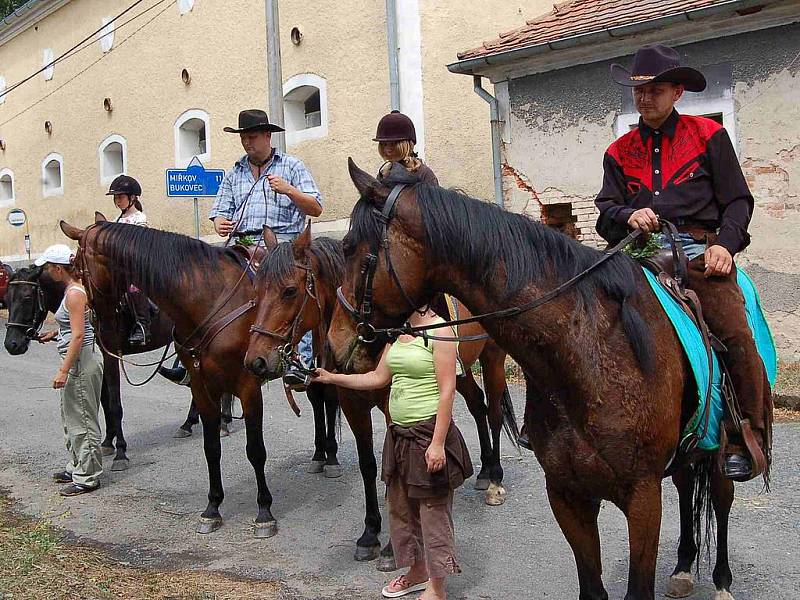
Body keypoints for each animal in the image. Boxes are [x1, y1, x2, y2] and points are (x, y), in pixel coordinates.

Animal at [60, 218, 278, 536]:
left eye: (78, 267)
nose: (97, 321)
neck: (212, 299)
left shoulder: (249, 386)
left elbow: (256, 451)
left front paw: (264, 512)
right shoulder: (201, 383)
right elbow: (211, 449)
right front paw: (212, 507)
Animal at [244, 226, 520, 568]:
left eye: (290, 291)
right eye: (256, 289)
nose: (256, 361)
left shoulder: (394, 406)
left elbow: (396, 467)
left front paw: (392, 545)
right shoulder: (353, 404)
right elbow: (368, 465)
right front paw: (370, 534)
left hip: (492, 358)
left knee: (493, 413)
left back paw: (495, 480)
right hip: (461, 370)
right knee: (478, 406)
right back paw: (482, 472)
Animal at [324, 158, 744, 600]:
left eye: (350, 247)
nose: (335, 342)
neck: (586, 355)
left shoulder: (643, 498)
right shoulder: (566, 493)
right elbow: (592, 587)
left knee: (721, 498)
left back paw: (721, 580)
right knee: (685, 484)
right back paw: (682, 566)